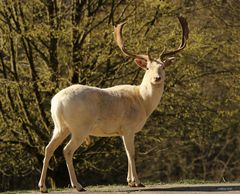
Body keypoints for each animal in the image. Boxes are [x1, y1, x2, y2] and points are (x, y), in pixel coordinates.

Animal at [38, 15, 188, 192]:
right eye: (147, 68)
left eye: (163, 67)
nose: (157, 78)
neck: (143, 101)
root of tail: (57, 102)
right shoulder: (129, 127)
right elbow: (132, 153)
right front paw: (137, 182)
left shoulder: (122, 131)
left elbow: (126, 153)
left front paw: (129, 181)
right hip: (80, 127)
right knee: (67, 150)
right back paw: (78, 185)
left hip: (60, 126)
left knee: (48, 148)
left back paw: (42, 187)